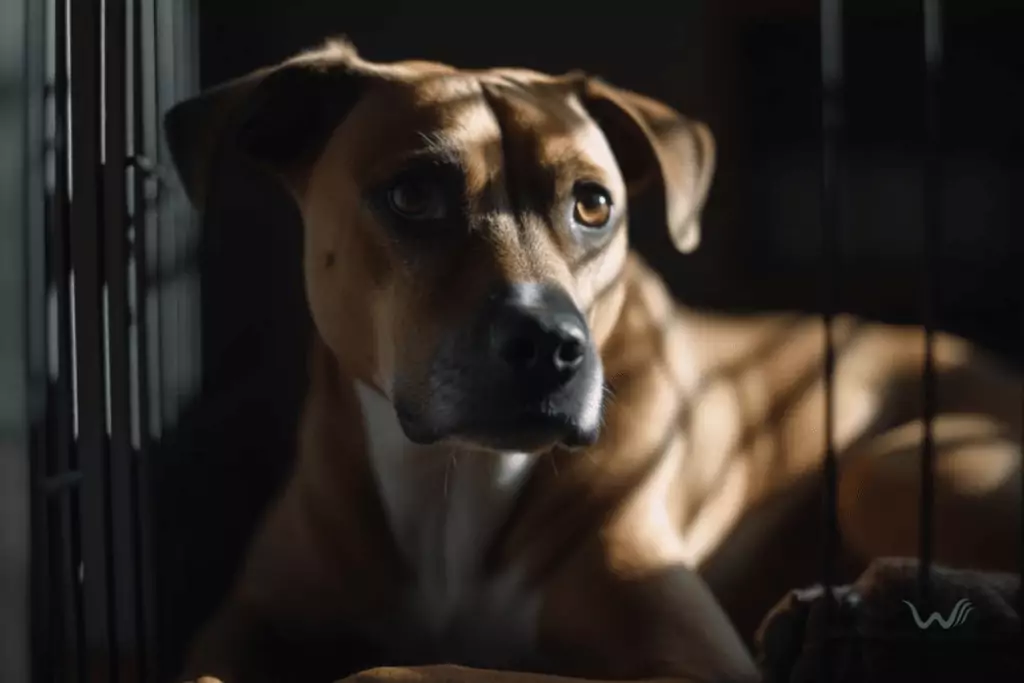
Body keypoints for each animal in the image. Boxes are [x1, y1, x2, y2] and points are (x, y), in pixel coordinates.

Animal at [163, 38, 1019, 683]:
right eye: (412, 194)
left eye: (593, 203)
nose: (551, 345)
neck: (454, 480)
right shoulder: (247, 619)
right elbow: (201, 665)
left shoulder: (695, 660)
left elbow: (443, 669)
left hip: (895, 465)